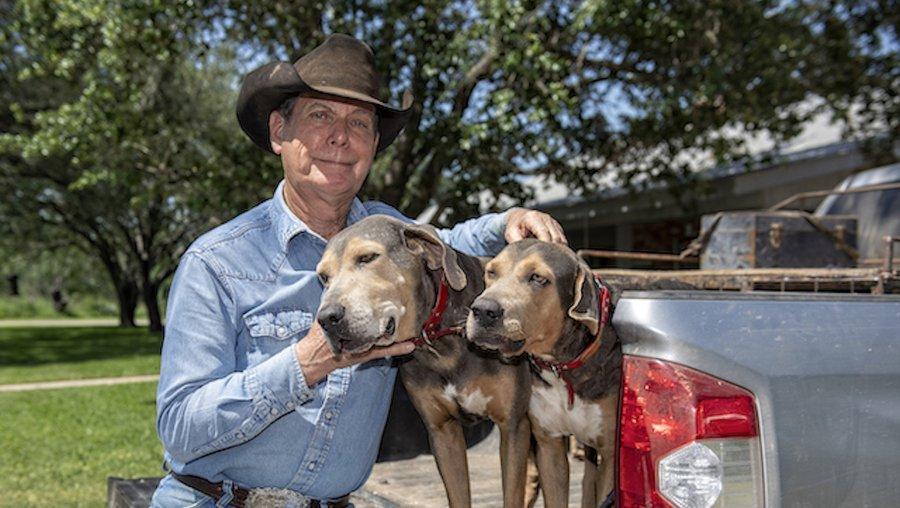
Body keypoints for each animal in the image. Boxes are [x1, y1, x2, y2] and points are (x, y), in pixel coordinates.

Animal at [314, 216, 532, 508]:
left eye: (367, 257)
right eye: (324, 277)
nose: (326, 318)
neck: (441, 340)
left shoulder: (513, 426)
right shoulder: (442, 431)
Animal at [464, 239, 620, 508]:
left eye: (538, 278)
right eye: (492, 272)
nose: (483, 310)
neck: (561, 366)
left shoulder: (610, 453)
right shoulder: (550, 445)